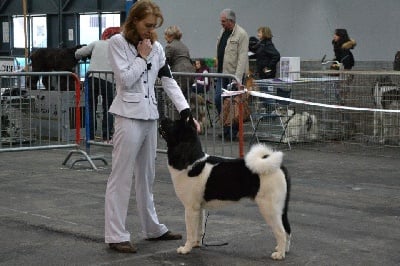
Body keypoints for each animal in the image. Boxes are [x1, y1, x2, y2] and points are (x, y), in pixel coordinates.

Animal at [158, 116, 292, 260]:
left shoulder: (190, 209)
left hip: (269, 208)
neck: (192, 161)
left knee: (281, 231)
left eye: (174, 123)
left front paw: (186, 249)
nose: (163, 117)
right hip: (281, 209)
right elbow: (199, 230)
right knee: (287, 229)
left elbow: (190, 231)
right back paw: (284, 250)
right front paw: (196, 245)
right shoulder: (198, 209)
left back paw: (279, 254)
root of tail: (277, 166)